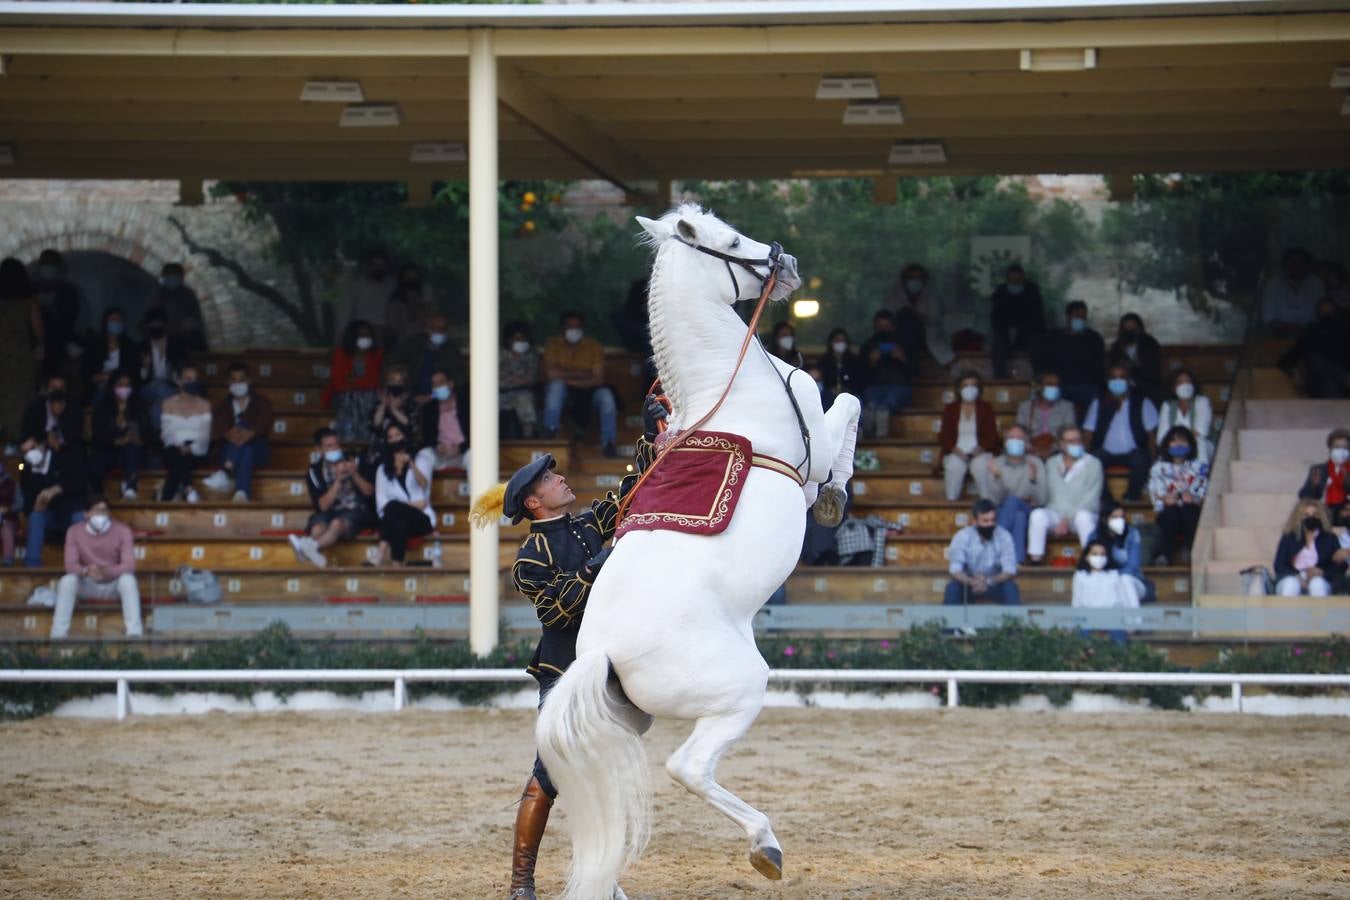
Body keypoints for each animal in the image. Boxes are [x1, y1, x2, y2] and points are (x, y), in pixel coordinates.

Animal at [531, 206, 858, 900]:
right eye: (731, 240)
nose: (788, 263)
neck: (731, 389)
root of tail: (599, 650)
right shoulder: (812, 447)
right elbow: (846, 405)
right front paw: (837, 498)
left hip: (619, 724)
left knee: (592, 803)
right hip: (740, 688)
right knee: (687, 767)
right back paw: (765, 847)